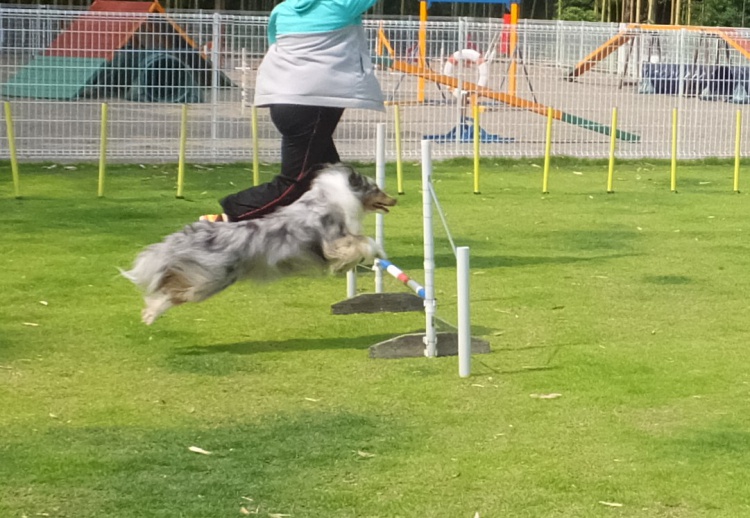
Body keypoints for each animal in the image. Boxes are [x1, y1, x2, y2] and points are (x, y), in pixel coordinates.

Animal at [121, 164, 397, 325]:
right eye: (377, 188)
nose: (394, 200)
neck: (329, 198)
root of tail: (194, 233)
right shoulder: (335, 242)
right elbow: (363, 242)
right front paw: (375, 252)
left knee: (167, 286)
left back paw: (148, 313)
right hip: (210, 280)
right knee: (174, 292)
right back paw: (150, 314)